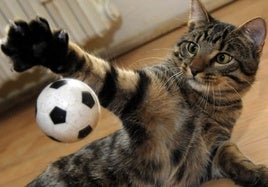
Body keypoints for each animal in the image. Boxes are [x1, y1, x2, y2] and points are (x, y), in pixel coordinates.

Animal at [1, 0, 266, 186]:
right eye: (192, 47)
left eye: (222, 58)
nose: (194, 69)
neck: (202, 103)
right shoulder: (139, 91)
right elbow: (95, 69)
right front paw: (41, 46)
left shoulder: (211, 150)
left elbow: (233, 155)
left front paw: (256, 172)